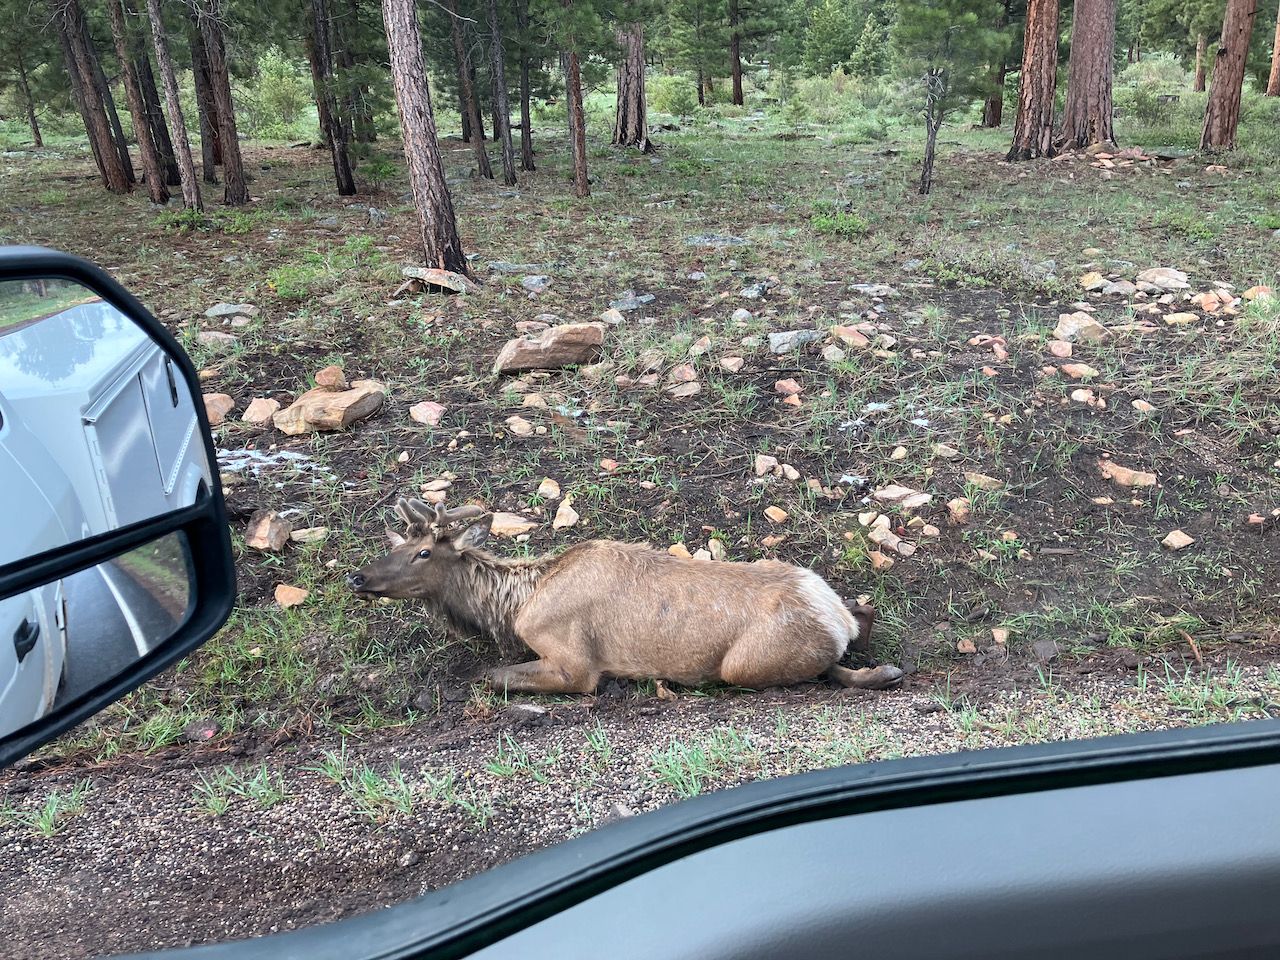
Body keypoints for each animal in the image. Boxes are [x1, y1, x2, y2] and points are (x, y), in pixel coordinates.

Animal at [347, 498, 904, 696]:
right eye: (396, 544)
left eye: (422, 552)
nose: (358, 577)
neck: (513, 604)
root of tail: (830, 614)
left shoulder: (575, 664)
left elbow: (494, 676)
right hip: (827, 599)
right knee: (865, 609)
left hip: (743, 664)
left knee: (827, 665)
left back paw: (883, 673)